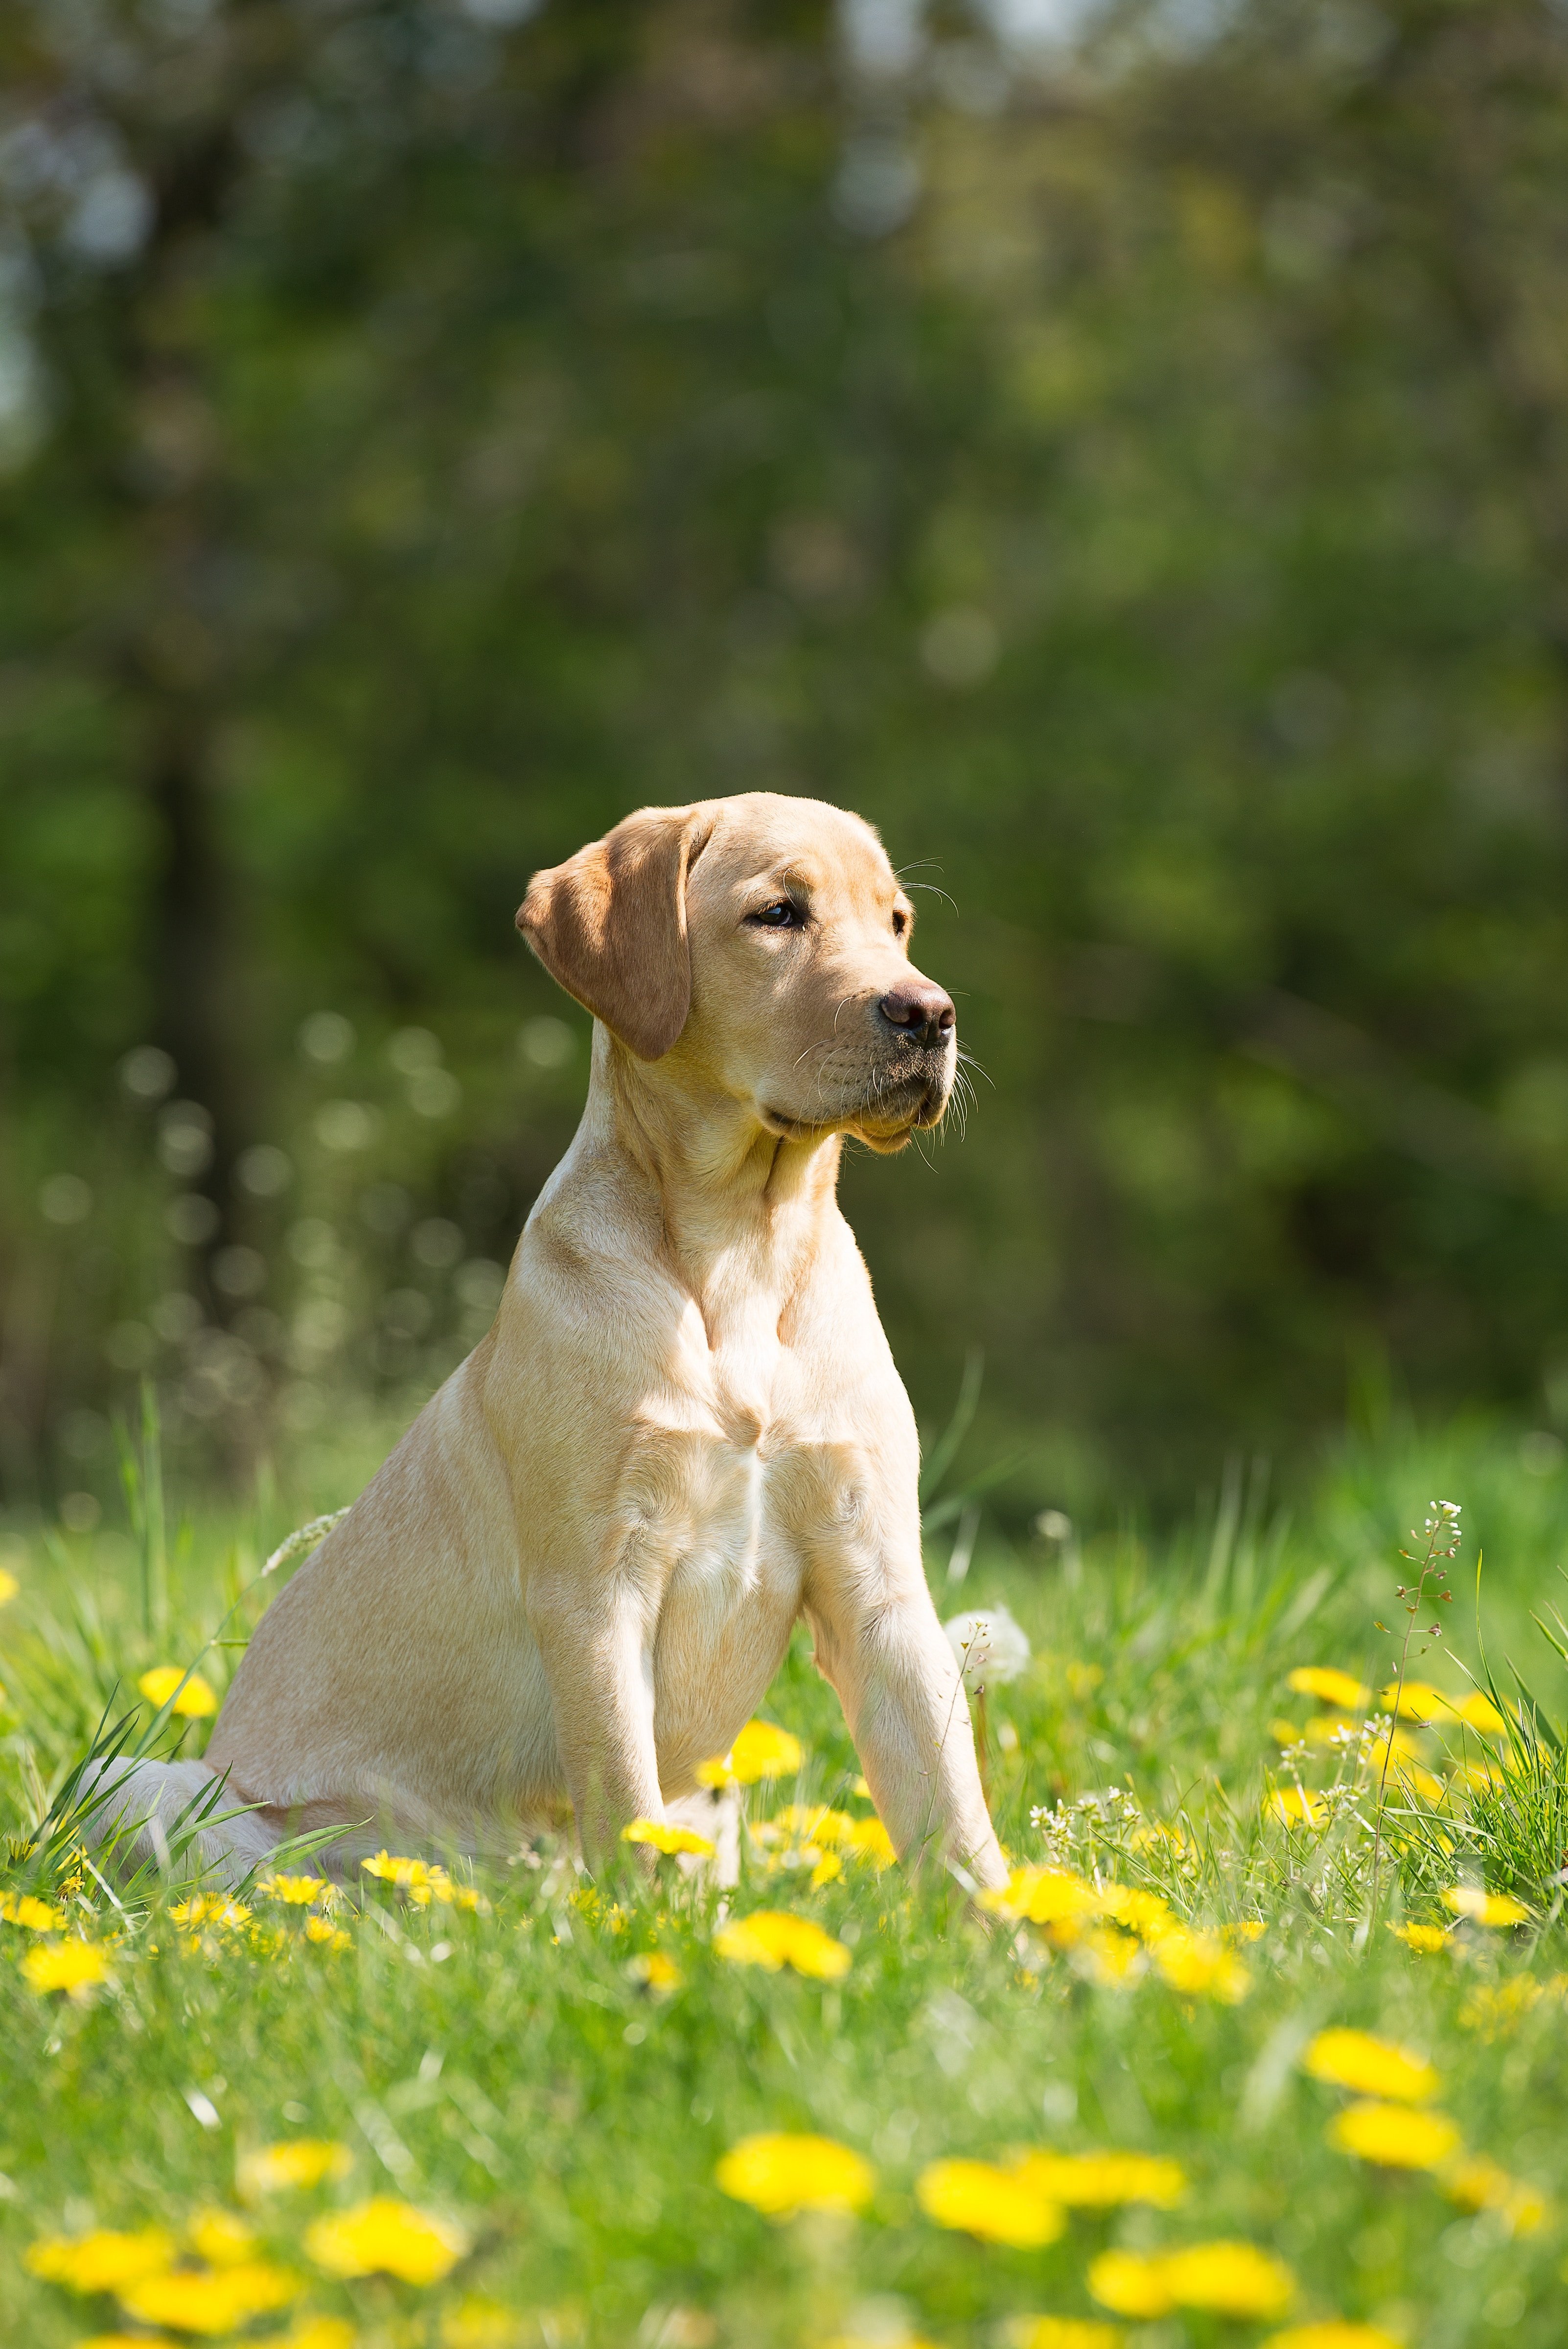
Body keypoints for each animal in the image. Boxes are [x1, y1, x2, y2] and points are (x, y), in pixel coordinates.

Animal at [92, 789, 1009, 1888]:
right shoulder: (595, 1591)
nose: (930, 1014)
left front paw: (1013, 1928)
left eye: (897, 923)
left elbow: (953, 1809)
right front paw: (641, 1920)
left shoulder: (878, 1584)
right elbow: (623, 1793)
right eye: (778, 914)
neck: (739, 1253)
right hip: (142, 1784)